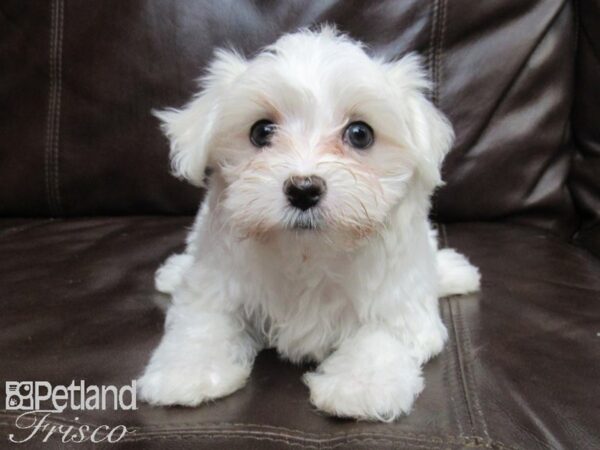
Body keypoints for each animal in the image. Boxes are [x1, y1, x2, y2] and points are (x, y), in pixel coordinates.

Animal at [137, 27, 478, 422]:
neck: (307, 251)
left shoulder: (399, 303)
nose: (303, 189)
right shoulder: (217, 284)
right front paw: (187, 372)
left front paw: (360, 387)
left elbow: (382, 335)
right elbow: (203, 323)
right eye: (261, 132)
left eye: (360, 134)